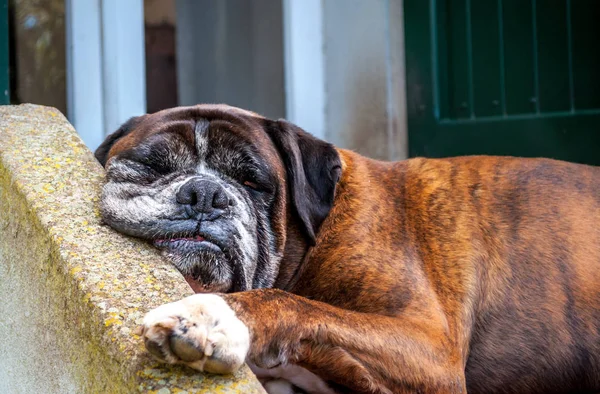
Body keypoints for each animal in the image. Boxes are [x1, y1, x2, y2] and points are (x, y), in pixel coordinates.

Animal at [94, 103, 600, 392]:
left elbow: (288, 302)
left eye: (252, 183)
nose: (205, 194)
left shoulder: (431, 348)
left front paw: (212, 318)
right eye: (153, 167)